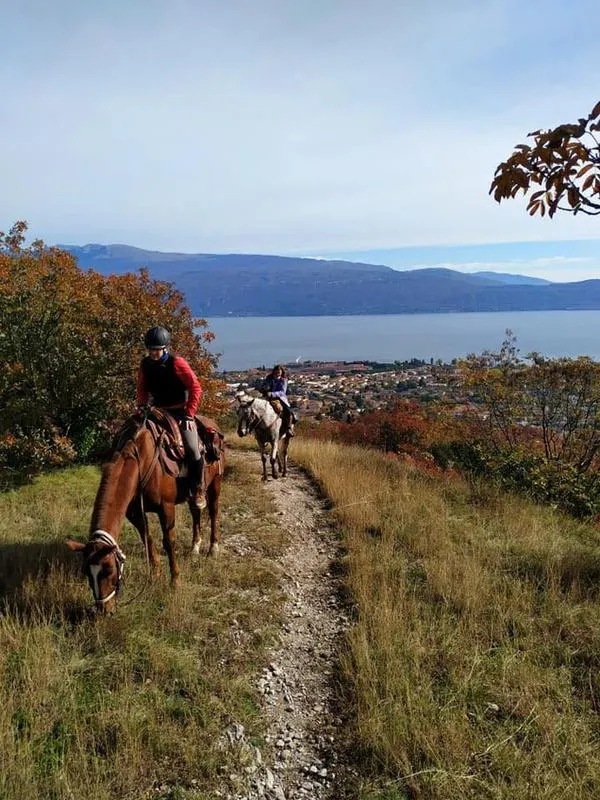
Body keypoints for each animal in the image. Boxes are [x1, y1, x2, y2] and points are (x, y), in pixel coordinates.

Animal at [65, 409, 225, 614]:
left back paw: (213, 548)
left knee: (213, 512)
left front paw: (175, 581)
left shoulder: (166, 508)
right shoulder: (134, 512)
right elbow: (147, 538)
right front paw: (155, 573)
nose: (105, 609)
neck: (142, 460)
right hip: (192, 495)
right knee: (196, 513)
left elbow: (169, 542)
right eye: (87, 572)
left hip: (215, 484)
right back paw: (195, 547)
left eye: (110, 570)